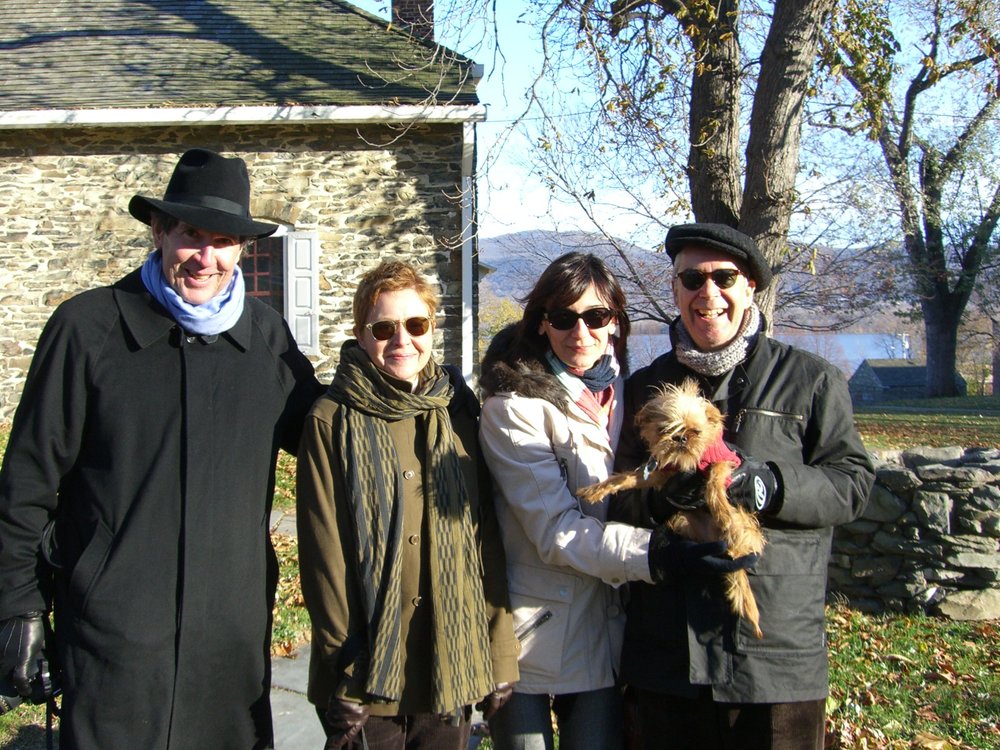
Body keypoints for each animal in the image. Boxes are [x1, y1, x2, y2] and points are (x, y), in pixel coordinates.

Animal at [580, 378, 764, 636]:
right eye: (665, 430)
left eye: (696, 431)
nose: (681, 438)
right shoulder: (661, 474)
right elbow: (625, 478)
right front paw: (595, 490)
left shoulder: (724, 460)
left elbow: (714, 482)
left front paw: (720, 508)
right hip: (682, 520)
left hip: (743, 523)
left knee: (738, 538)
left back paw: (730, 534)